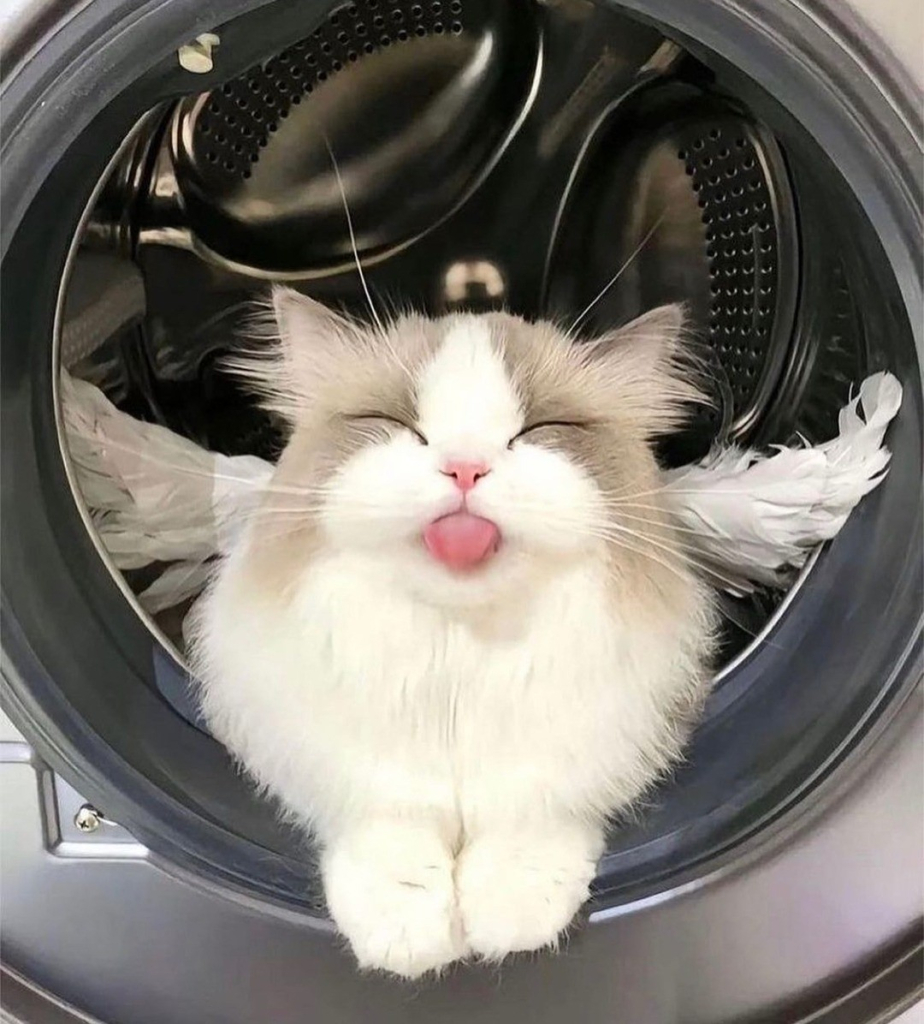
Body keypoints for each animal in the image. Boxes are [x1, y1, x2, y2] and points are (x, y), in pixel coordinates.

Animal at [191, 284, 721, 978]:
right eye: (397, 423)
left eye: (541, 430)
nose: (465, 469)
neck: (459, 649)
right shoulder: (346, 760)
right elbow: (389, 821)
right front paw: (406, 930)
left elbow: (531, 813)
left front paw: (510, 912)